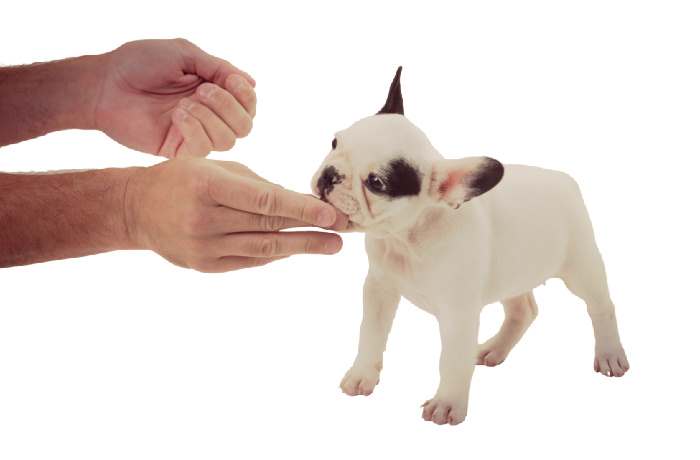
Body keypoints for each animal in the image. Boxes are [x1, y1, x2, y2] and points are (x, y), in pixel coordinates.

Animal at [312, 69, 628, 428]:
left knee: (601, 306)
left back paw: (610, 354)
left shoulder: (458, 314)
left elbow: (452, 359)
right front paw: (362, 374)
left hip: (580, 263)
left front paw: (447, 404)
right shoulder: (380, 288)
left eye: (376, 183)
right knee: (523, 310)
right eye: (334, 143)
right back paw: (495, 348)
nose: (330, 174)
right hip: (513, 271)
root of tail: (563, 179)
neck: (407, 238)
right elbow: (371, 332)